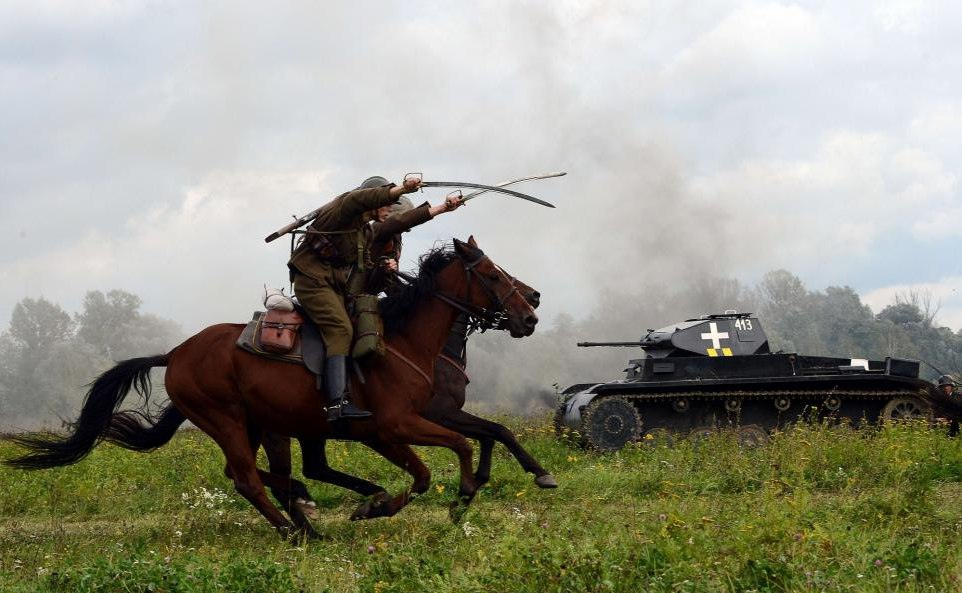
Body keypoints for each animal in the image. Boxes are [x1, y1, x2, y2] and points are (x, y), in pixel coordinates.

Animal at [7, 236, 536, 536]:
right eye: (491, 275)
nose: (531, 310)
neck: (403, 340)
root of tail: (175, 354)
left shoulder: (392, 429)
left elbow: (466, 445)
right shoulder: (394, 427)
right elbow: (448, 456)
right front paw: (454, 499)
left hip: (261, 424)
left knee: (259, 473)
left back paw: (308, 517)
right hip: (226, 419)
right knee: (246, 478)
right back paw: (290, 530)